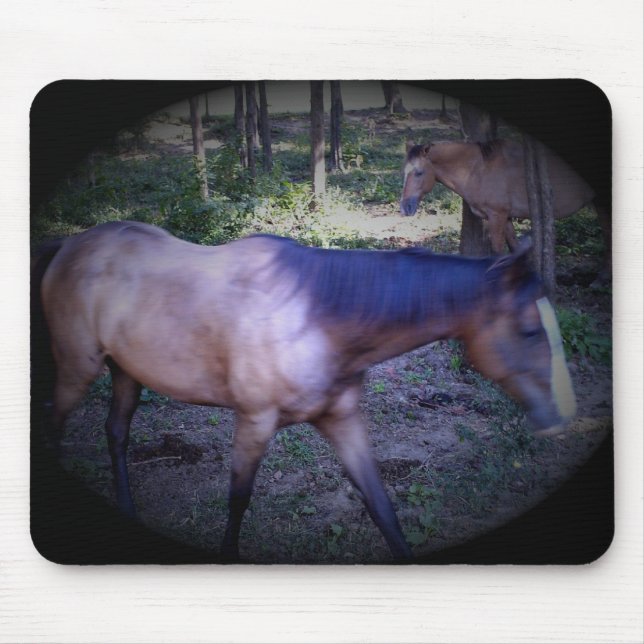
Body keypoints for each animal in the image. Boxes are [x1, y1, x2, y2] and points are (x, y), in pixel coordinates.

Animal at [37, 221, 576, 561]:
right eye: (530, 330)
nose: (559, 420)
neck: (315, 317)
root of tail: (71, 244)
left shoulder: (342, 421)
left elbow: (382, 507)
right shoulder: (254, 421)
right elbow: (238, 500)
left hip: (126, 372)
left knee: (116, 434)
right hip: (78, 369)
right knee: (55, 426)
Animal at [400, 140, 611, 281]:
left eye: (419, 172)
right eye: (404, 172)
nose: (405, 207)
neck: (478, 169)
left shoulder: (497, 216)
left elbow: (498, 251)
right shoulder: (505, 217)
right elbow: (514, 249)